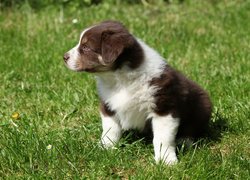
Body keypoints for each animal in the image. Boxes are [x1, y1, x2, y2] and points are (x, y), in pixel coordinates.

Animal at [63, 20, 212, 165]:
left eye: (86, 47)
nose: (64, 57)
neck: (119, 79)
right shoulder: (108, 105)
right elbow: (110, 130)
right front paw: (105, 148)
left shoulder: (164, 108)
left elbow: (163, 138)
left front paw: (167, 161)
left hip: (203, 105)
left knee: (193, 127)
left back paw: (184, 141)